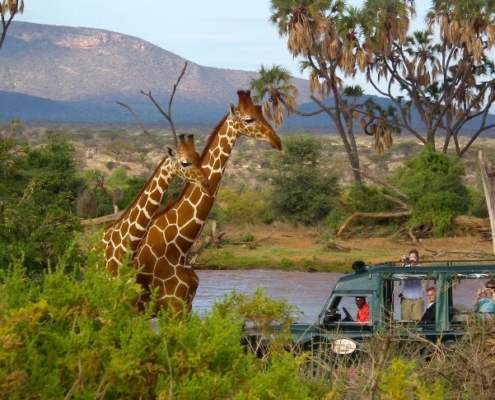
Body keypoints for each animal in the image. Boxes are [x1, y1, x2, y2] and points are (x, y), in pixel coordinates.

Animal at [135, 90, 282, 316]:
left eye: (263, 113)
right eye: (249, 119)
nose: (277, 141)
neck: (176, 246)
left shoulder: (186, 305)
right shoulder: (173, 305)